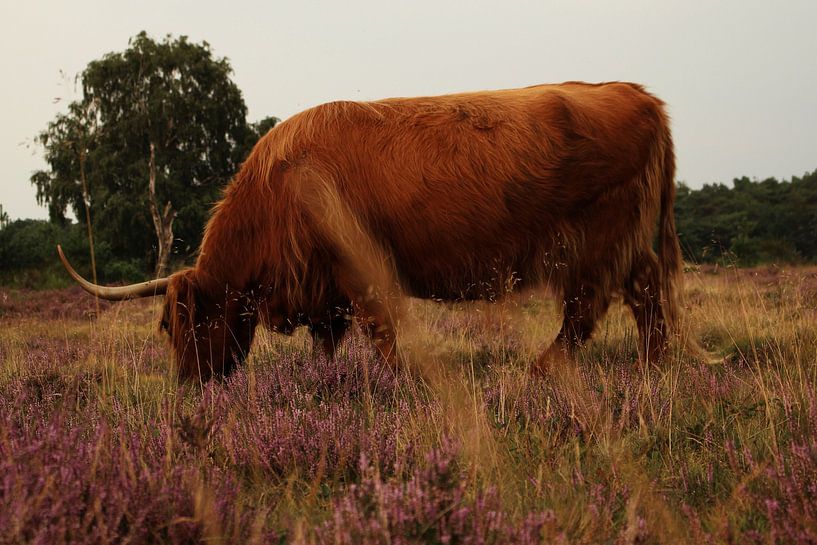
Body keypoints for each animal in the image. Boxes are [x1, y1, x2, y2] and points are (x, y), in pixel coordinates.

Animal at [57, 82, 684, 382]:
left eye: (183, 323)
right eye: (167, 326)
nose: (189, 386)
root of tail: (638, 93)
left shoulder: (360, 273)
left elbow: (382, 338)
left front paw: (399, 385)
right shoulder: (325, 290)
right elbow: (326, 346)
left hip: (598, 237)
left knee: (591, 307)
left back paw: (543, 371)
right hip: (623, 241)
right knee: (645, 292)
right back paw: (653, 367)